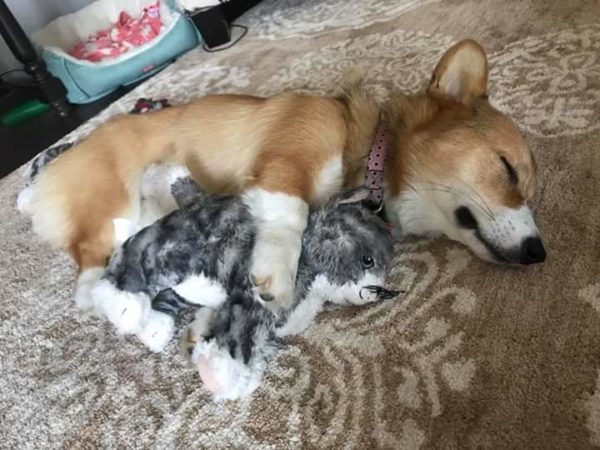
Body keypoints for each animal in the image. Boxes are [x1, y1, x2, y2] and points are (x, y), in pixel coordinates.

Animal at [19, 39, 544, 310]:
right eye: (506, 169)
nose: (539, 253)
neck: (370, 150)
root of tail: (52, 168)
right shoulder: (288, 157)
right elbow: (290, 212)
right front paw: (275, 273)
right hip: (113, 206)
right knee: (87, 252)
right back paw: (93, 292)